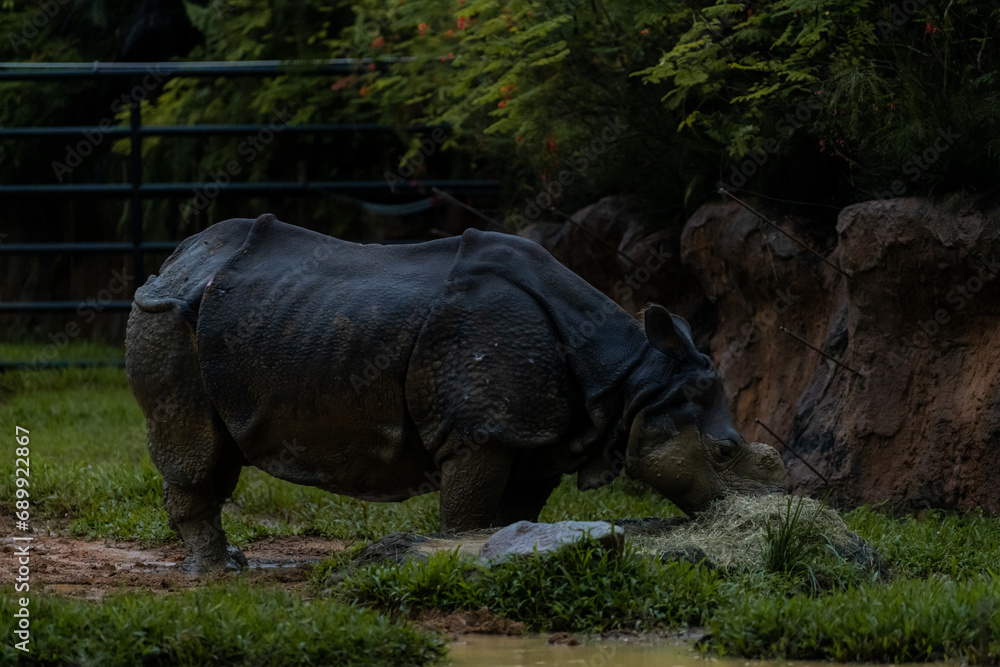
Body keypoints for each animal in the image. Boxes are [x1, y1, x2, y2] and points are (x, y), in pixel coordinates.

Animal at [125, 214, 785, 573]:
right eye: (725, 453)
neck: (630, 379)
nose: (773, 510)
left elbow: (516, 513)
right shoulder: (481, 430)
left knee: (218, 451)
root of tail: (176, 260)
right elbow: (467, 515)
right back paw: (214, 572)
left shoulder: (540, 435)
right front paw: (457, 556)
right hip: (165, 317)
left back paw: (229, 562)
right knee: (195, 447)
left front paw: (517, 552)